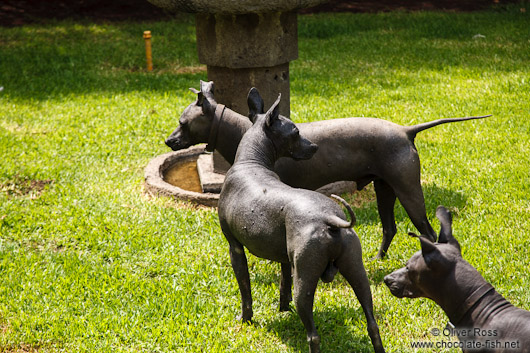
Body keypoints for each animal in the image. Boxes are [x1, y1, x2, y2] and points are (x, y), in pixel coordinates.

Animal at [167, 82, 488, 258]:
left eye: (182, 122)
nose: (169, 141)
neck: (249, 132)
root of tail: (405, 130)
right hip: (384, 188)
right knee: (390, 227)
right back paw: (378, 260)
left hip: (409, 190)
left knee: (428, 232)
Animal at [218, 93, 384, 352]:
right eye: (295, 132)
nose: (314, 146)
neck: (250, 162)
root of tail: (330, 219)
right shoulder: (285, 259)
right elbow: (283, 283)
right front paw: (282, 308)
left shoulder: (235, 248)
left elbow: (246, 293)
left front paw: (246, 319)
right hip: (358, 273)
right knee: (372, 324)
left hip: (305, 282)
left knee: (313, 335)